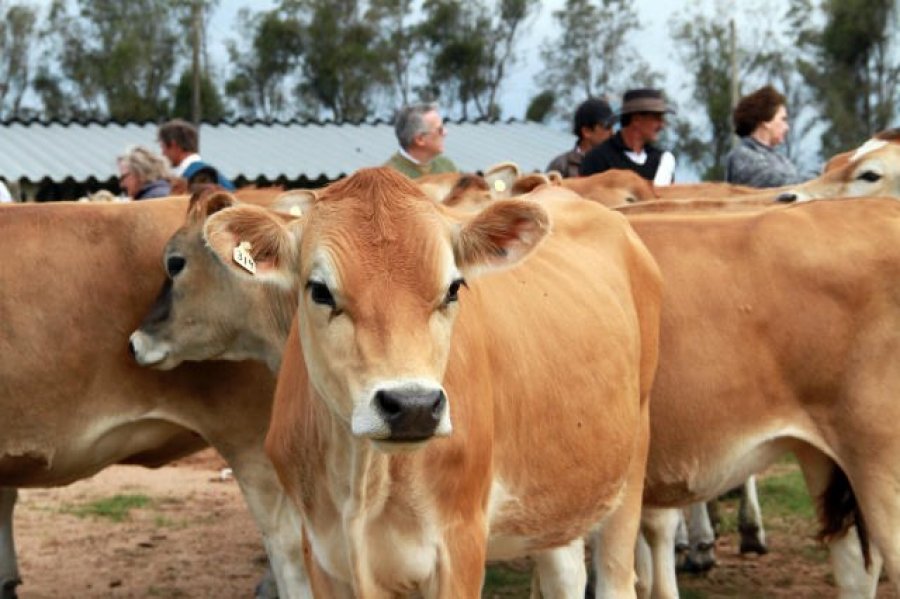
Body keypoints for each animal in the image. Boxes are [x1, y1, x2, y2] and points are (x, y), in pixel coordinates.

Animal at [186, 166, 664, 596]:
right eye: (319, 289)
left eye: (454, 287)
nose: (412, 406)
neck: (365, 478)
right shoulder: (321, 553)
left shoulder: (459, 545)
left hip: (629, 473)